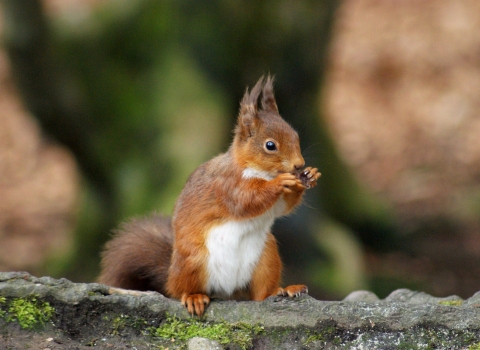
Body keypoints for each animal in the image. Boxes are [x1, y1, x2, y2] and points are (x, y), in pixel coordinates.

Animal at [98, 76, 320, 314]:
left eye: (296, 136)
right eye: (270, 145)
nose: (299, 164)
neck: (257, 170)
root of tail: (227, 291)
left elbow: (282, 208)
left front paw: (309, 176)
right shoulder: (227, 185)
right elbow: (246, 201)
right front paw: (282, 182)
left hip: (267, 257)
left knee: (261, 295)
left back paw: (284, 290)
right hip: (194, 260)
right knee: (182, 290)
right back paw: (194, 297)